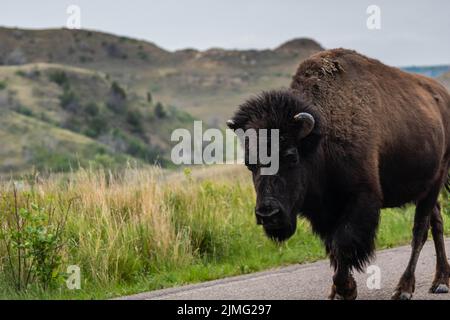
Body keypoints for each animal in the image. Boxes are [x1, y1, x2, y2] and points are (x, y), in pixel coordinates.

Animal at [227, 48, 450, 298]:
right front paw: (338, 290)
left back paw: (405, 288)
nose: (268, 214)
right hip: (427, 187)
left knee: (420, 230)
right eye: (249, 163)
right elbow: (333, 248)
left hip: (437, 179)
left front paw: (345, 289)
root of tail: (443, 95)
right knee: (437, 223)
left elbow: (343, 244)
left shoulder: (360, 199)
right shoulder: (326, 212)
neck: (321, 139)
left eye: (291, 156)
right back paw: (440, 281)